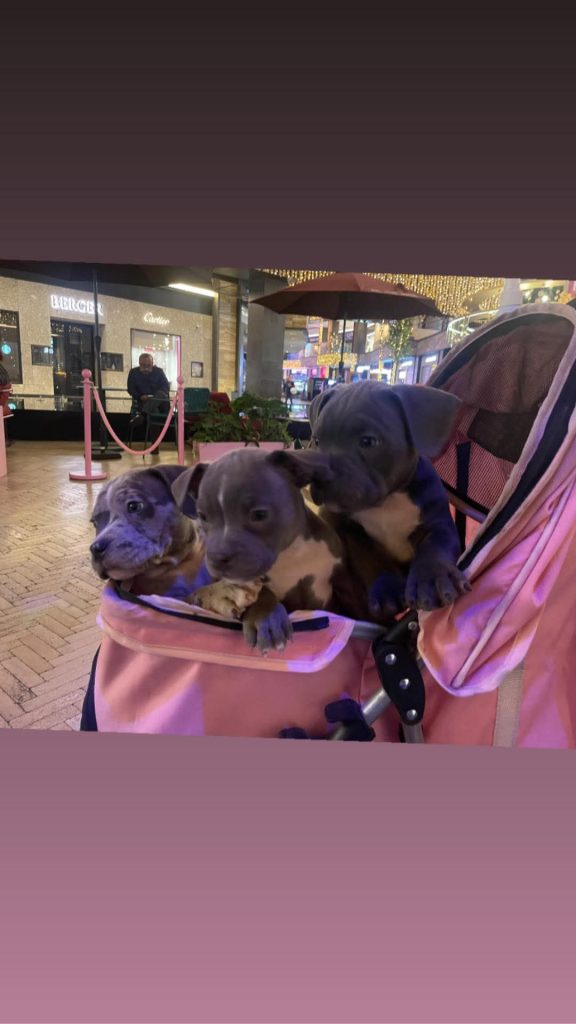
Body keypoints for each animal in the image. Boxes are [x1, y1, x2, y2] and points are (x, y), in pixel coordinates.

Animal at [170, 448, 368, 652]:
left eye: (259, 514)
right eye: (202, 516)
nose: (218, 557)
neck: (291, 553)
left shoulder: (343, 578)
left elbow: (359, 606)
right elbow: (260, 591)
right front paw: (265, 617)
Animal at [268, 381, 470, 615]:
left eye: (368, 441)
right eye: (316, 440)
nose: (321, 474)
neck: (386, 502)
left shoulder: (439, 523)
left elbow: (435, 547)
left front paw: (431, 579)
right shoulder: (349, 531)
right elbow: (370, 559)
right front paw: (387, 590)